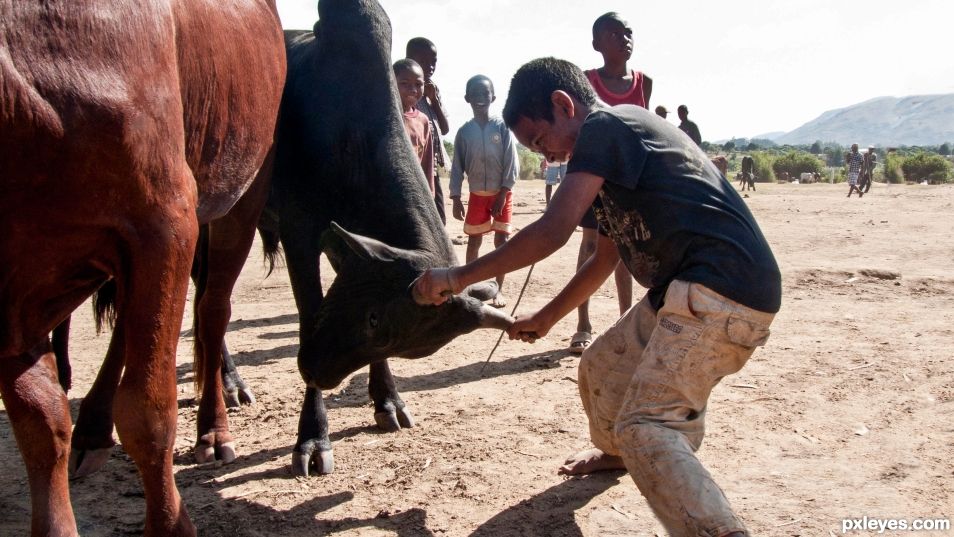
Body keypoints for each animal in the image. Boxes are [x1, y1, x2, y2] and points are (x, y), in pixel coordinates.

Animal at [0, 2, 282, 532]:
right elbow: (40, 419)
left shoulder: (165, 221)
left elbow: (147, 412)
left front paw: (173, 525)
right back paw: (92, 428)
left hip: (243, 190)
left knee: (212, 311)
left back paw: (214, 429)